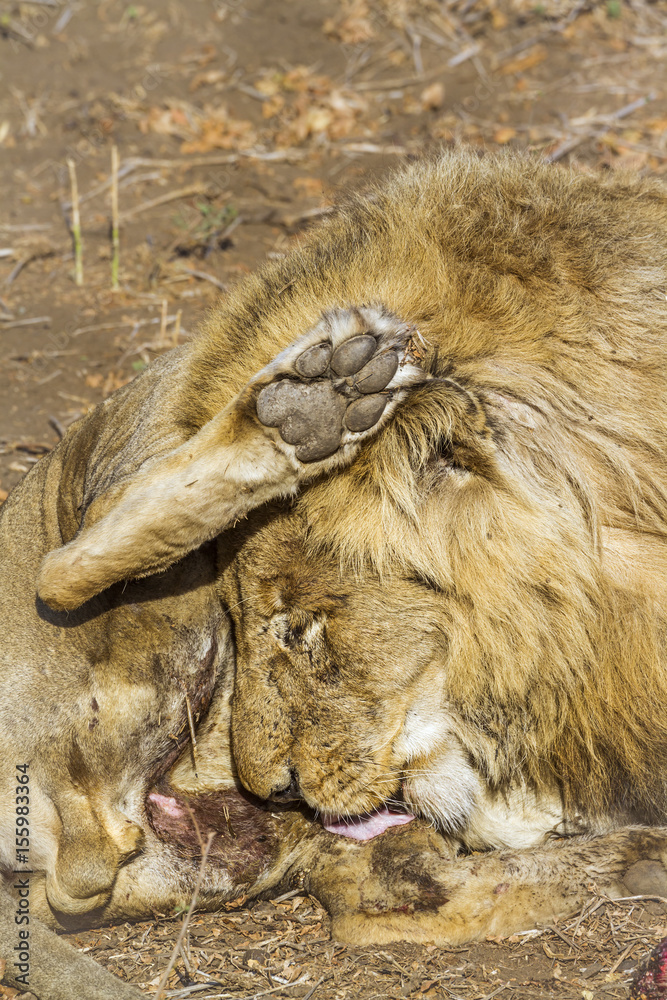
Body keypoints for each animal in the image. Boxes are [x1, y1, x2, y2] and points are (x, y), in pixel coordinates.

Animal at [4, 149, 667, 999]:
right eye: (268, 626)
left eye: (302, 630)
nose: (273, 790)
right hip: (156, 604)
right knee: (73, 565)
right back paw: (315, 404)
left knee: (382, 893)